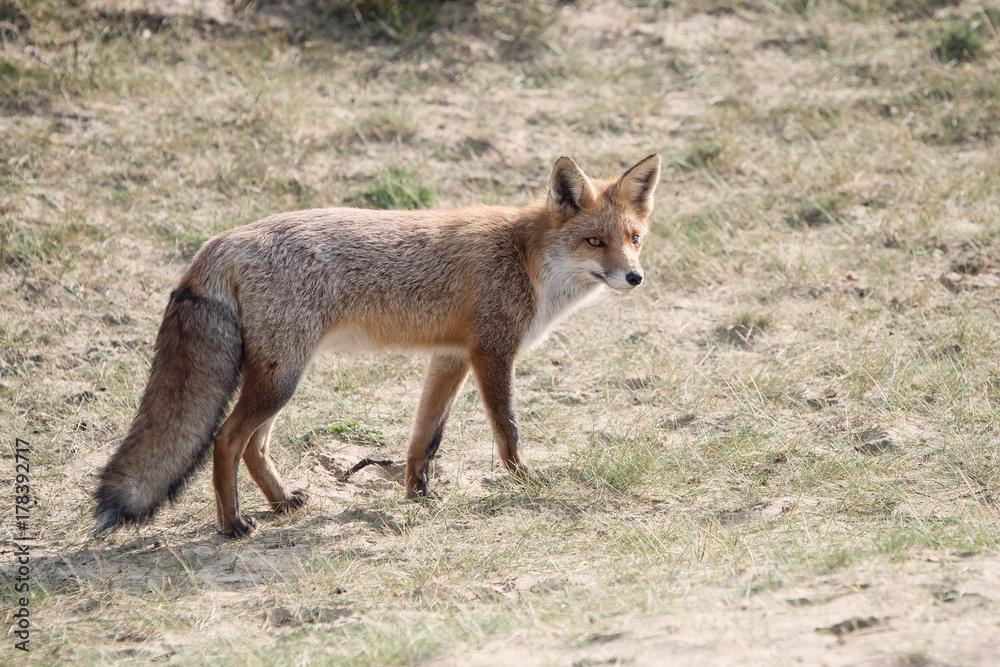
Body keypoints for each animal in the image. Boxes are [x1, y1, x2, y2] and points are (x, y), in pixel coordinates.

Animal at [92, 153, 656, 536]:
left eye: (634, 238)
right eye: (594, 242)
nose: (635, 277)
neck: (525, 259)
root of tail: (222, 239)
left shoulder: (451, 356)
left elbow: (424, 440)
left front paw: (417, 495)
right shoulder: (493, 353)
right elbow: (508, 432)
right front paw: (525, 482)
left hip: (280, 375)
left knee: (254, 444)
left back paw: (281, 503)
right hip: (281, 377)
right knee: (227, 439)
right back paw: (232, 525)